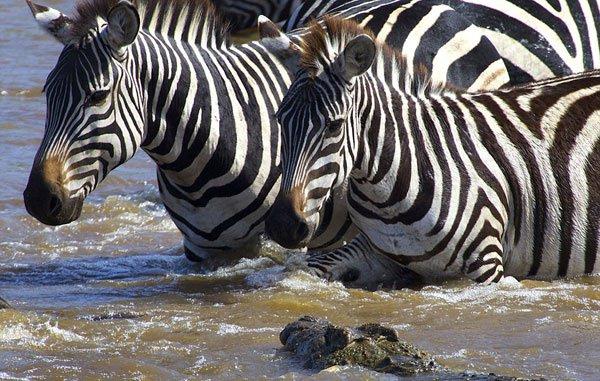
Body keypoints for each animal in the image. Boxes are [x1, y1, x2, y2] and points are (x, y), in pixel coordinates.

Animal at [268, 17, 600, 284]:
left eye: (334, 126)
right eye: (279, 119)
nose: (283, 225)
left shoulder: (487, 264)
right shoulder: (377, 252)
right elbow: (316, 269)